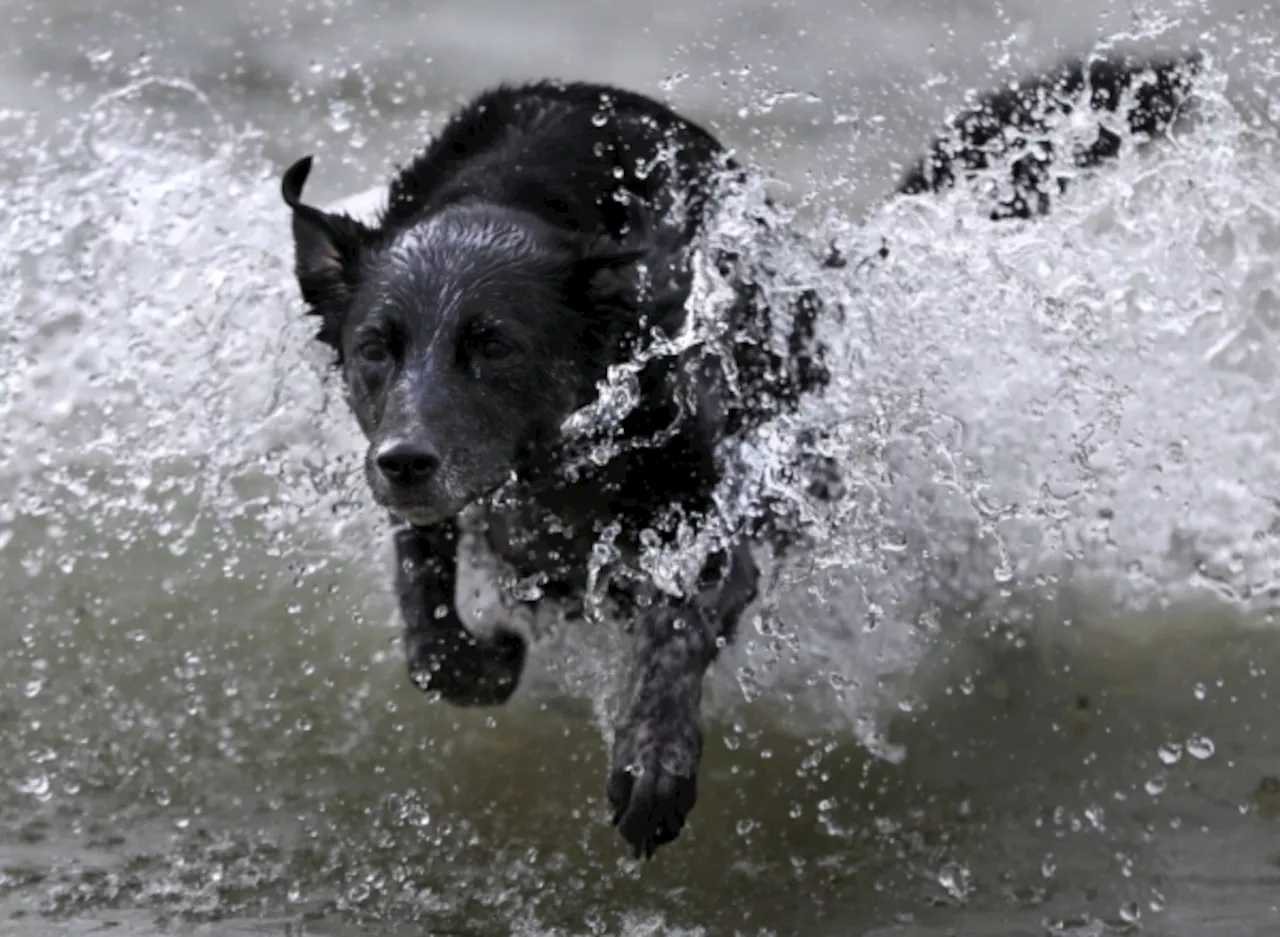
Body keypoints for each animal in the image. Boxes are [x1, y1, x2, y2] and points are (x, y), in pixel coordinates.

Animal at [280, 49, 1198, 855]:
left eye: (495, 345)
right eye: (375, 347)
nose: (404, 460)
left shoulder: (721, 509)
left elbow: (678, 627)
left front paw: (653, 763)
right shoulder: (439, 505)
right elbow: (427, 630)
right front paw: (489, 658)